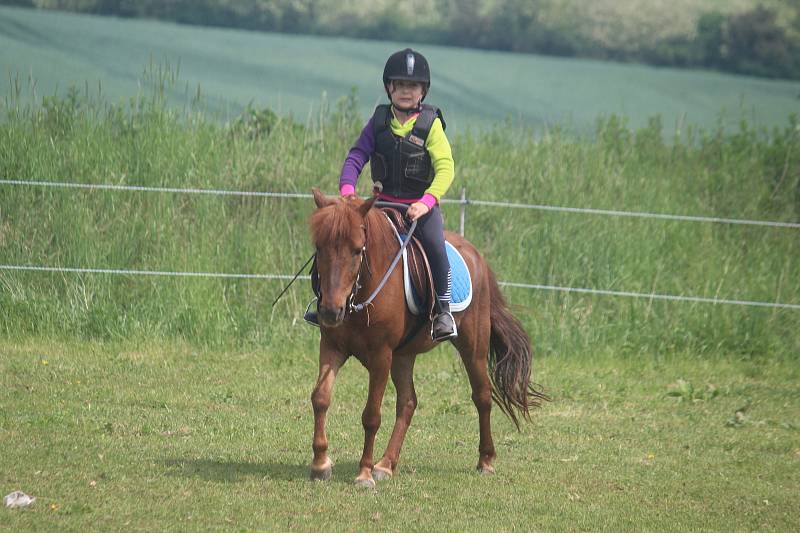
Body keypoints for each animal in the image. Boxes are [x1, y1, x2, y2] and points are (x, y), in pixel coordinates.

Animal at [306, 188, 544, 486]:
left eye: (357, 249)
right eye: (319, 248)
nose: (330, 311)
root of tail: (476, 255)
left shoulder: (381, 355)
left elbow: (371, 415)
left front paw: (364, 473)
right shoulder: (332, 347)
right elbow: (320, 398)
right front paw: (320, 464)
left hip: (472, 348)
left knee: (482, 396)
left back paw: (486, 460)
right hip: (404, 356)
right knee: (408, 402)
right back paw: (386, 464)